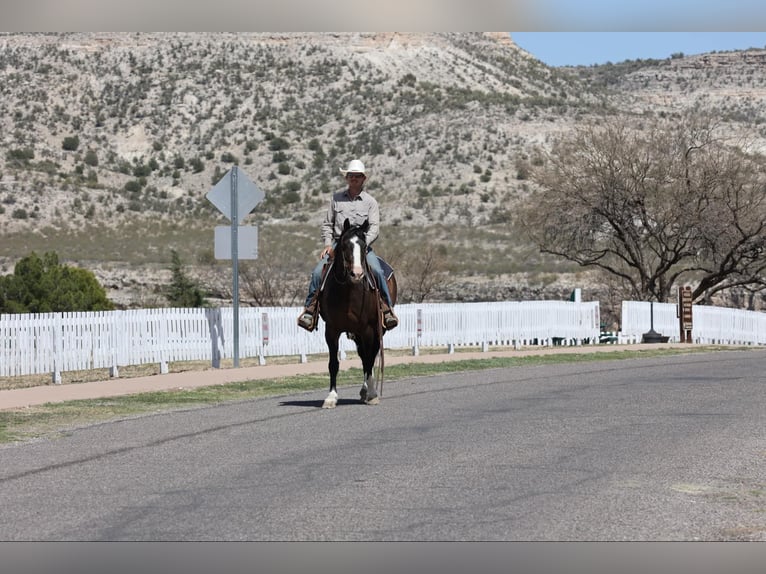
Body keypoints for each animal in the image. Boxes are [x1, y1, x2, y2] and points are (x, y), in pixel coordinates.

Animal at [318, 218, 397, 409]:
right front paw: (331, 397)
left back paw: (369, 390)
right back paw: (364, 390)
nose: (357, 274)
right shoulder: (331, 330)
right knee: (363, 355)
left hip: (377, 329)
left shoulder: (367, 328)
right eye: (344, 245)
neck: (347, 291)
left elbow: (369, 360)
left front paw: (373, 394)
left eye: (363, 245)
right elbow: (333, 363)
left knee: (371, 355)